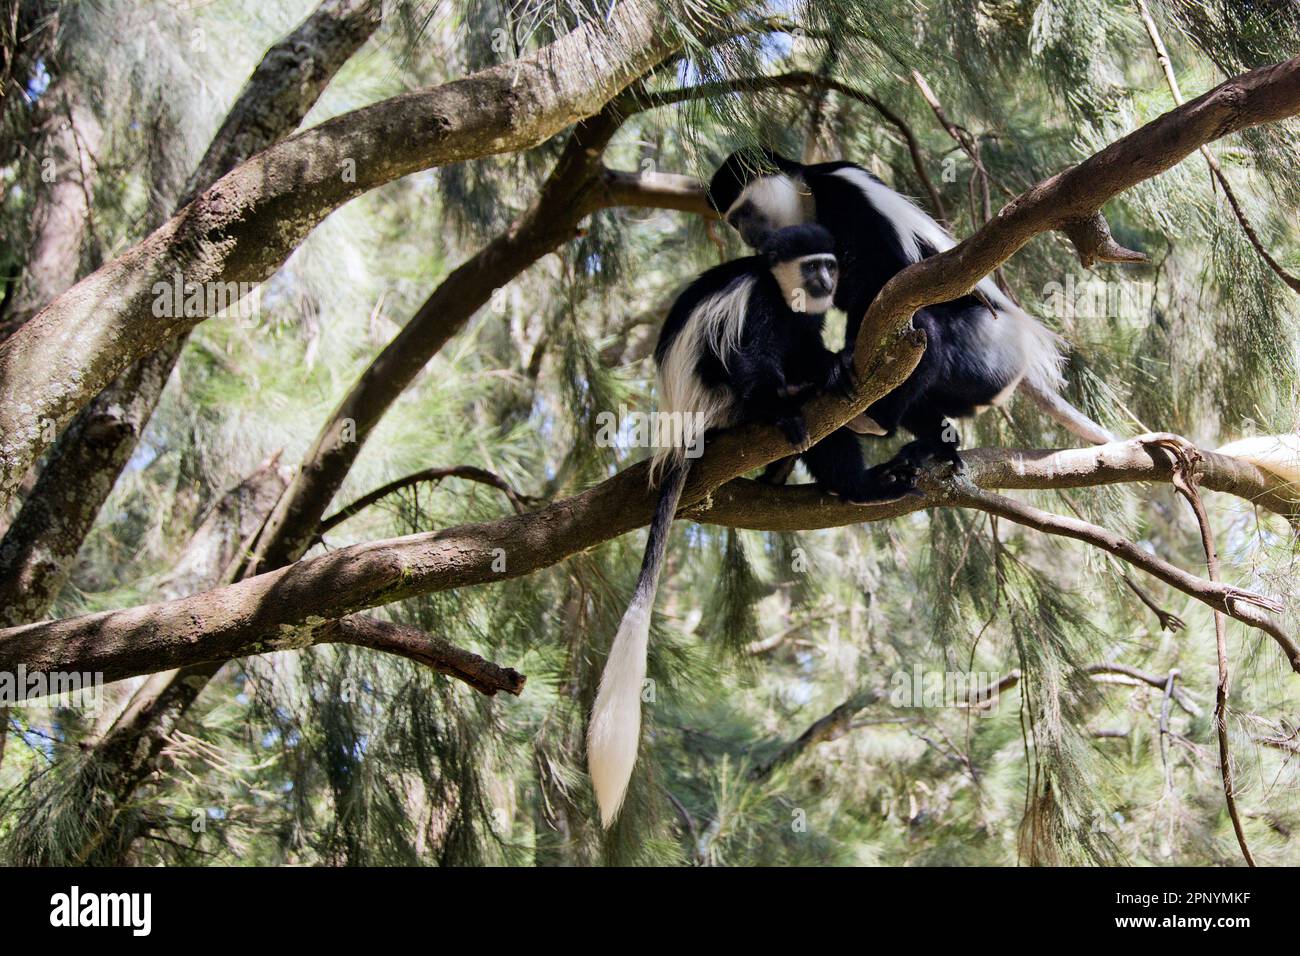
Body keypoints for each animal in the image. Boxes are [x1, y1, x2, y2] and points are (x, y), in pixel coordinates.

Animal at [585, 226, 909, 832]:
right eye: (814, 265)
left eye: (831, 265)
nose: (828, 281)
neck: (783, 290)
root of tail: (680, 435)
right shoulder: (756, 304)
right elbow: (748, 353)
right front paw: (789, 400)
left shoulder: (806, 320)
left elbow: (811, 348)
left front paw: (836, 366)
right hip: (719, 406)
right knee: (752, 373)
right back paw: (808, 435)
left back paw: (842, 470)